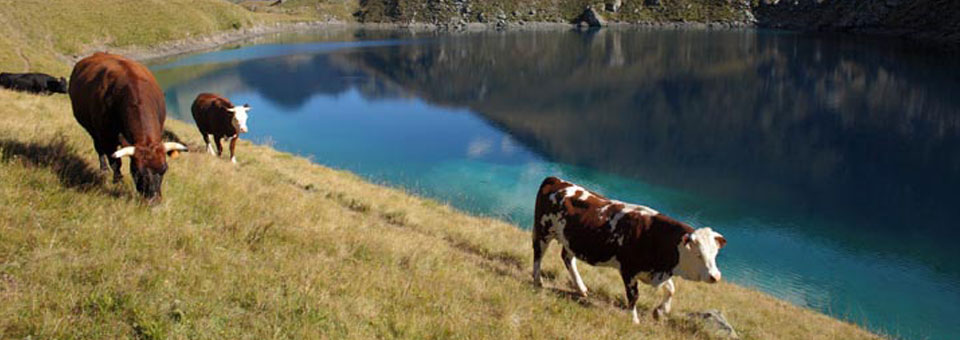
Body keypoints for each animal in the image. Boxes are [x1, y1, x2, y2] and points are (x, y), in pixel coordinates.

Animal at [68, 51, 188, 203]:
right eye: (135, 171)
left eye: (164, 169)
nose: (153, 200)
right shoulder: (107, 138)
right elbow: (115, 162)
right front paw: (118, 182)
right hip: (92, 131)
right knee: (99, 149)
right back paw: (104, 170)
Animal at [532, 177, 728, 322]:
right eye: (698, 254)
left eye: (715, 254)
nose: (716, 276)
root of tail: (556, 180)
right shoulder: (628, 270)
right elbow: (634, 296)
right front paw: (634, 320)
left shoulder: (655, 271)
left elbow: (671, 289)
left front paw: (660, 311)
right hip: (543, 230)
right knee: (538, 255)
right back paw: (537, 281)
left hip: (570, 240)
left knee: (567, 257)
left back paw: (581, 288)